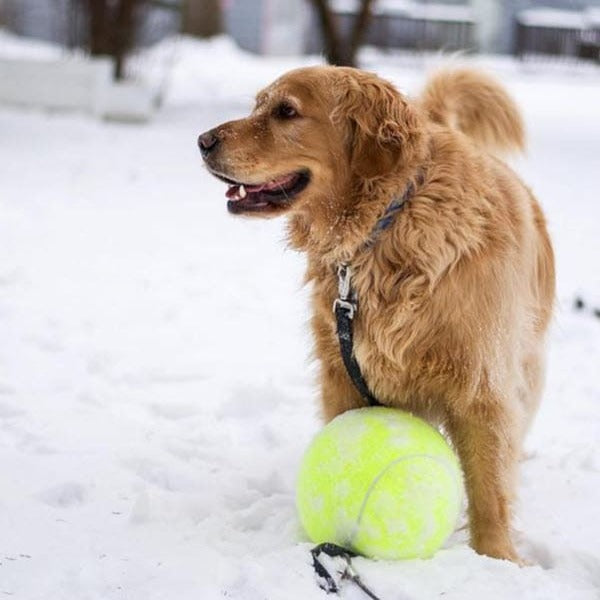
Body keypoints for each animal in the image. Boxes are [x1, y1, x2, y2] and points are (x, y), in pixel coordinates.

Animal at [199, 65, 556, 564]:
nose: (202, 140)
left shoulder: (480, 384)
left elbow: (490, 487)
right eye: (257, 105)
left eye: (286, 111)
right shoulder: (343, 372)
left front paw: (499, 560)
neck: (388, 226)